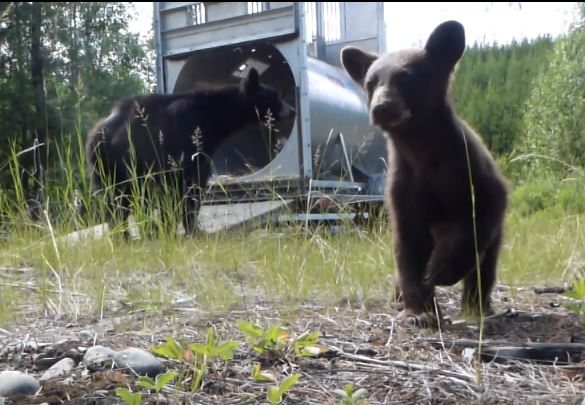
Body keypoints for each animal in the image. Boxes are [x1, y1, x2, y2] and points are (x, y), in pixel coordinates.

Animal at [84, 67, 294, 235]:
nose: (292, 110)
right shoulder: (185, 150)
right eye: (276, 95)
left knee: (117, 204)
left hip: (109, 170)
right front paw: (190, 228)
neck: (215, 119)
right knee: (117, 203)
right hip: (118, 167)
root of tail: (95, 135)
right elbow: (190, 191)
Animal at [340, 21, 508, 326]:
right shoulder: (404, 185)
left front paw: (442, 269)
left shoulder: (469, 170)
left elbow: (481, 214)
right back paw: (398, 299)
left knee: (485, 266)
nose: (381, 107)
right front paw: (419, 309)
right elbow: (407, 245)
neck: (420, 148)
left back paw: (477, 306)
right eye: (371, 82)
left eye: (406, 78)